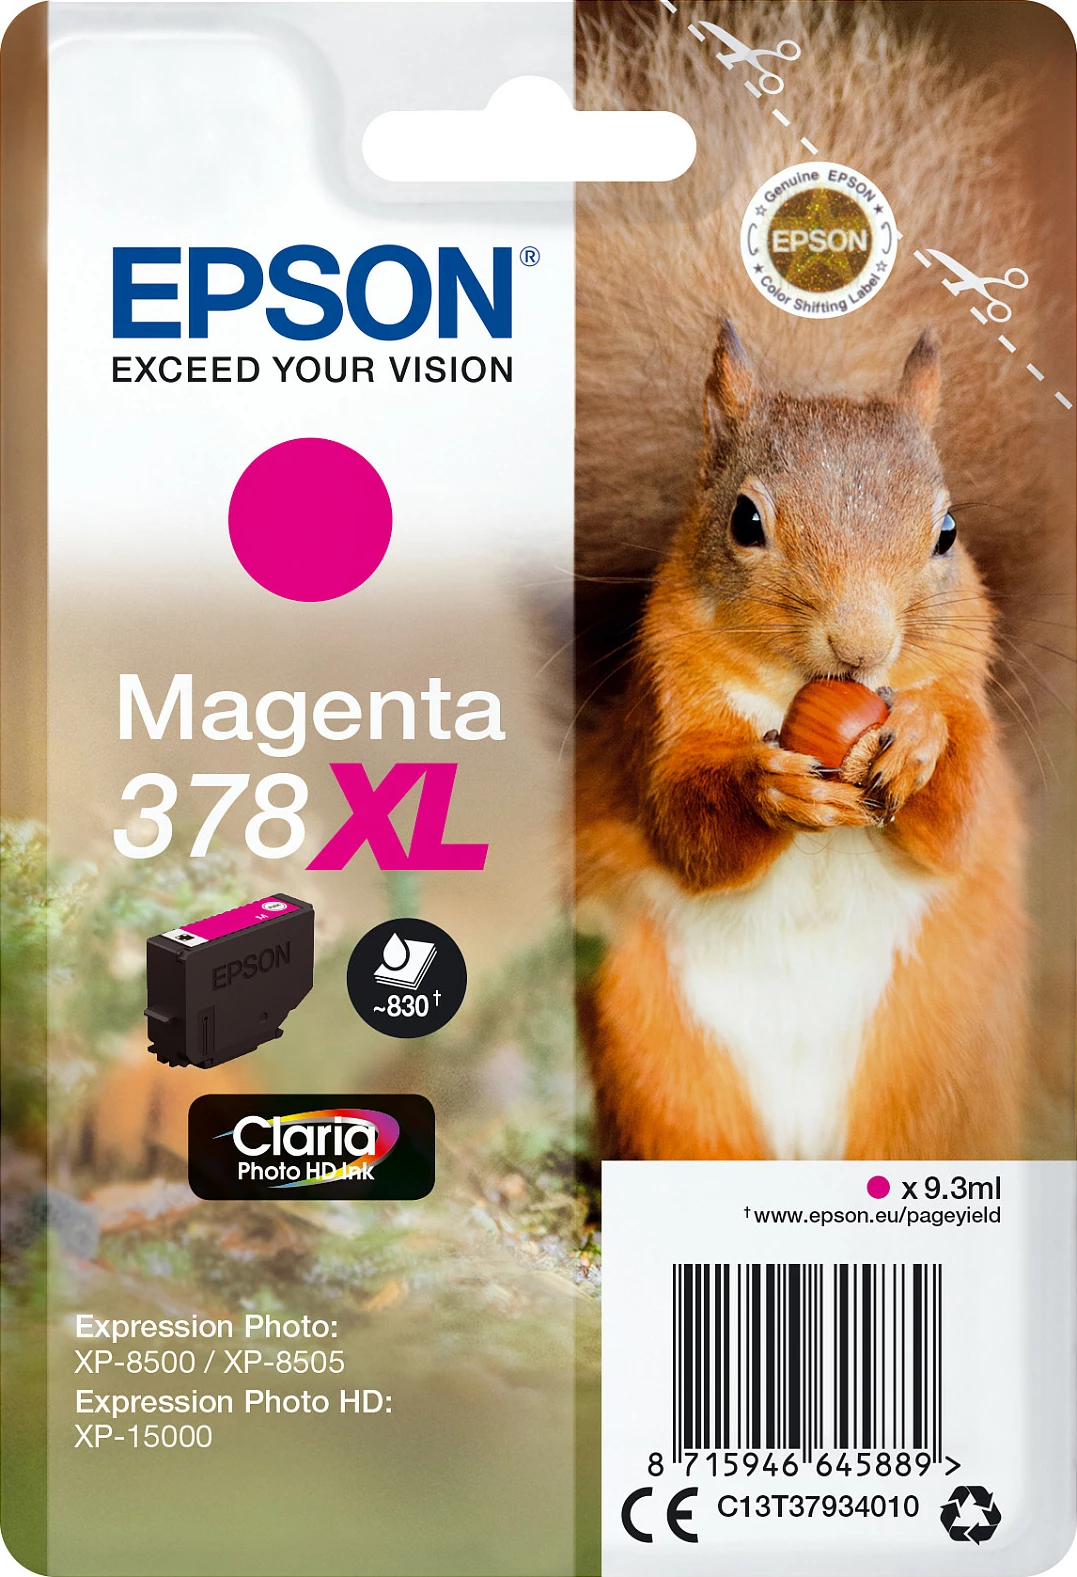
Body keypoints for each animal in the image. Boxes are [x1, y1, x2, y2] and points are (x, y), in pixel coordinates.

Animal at [573, 1, 1072, 1161]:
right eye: (745, 521)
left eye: (947, 532)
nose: (862, 647)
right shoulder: (663, 710)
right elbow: (685, 818)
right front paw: (772, 786)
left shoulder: (970, 704)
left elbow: (958, 811)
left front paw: (920, 742)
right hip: (660, 1060)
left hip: (937, 1067)